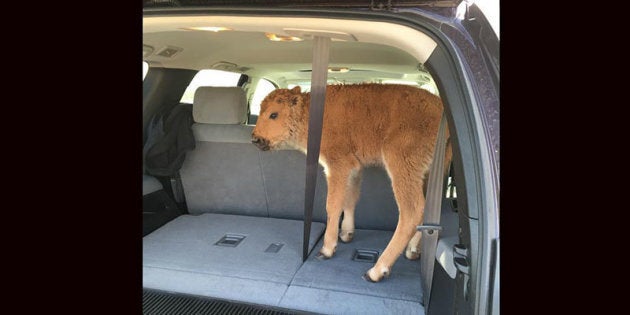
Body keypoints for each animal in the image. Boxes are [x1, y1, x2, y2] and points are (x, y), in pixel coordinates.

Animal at [252, 84, 450, 284]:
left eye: (274, 114)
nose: (255, 139)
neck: (308, 114)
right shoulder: (354, 168)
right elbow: (349, 199)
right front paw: (347, 234)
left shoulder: (337, 165)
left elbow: (333, 204)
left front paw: (327, 248)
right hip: (431, 172)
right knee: (428, 208)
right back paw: (413, 250)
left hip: (402, 165)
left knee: (412, 211)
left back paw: (376, 271)